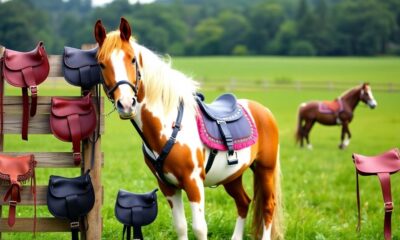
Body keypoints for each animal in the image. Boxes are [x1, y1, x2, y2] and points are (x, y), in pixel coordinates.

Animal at [93, 17, 282, 239]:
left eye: (132, 59)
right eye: (101, 63)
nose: (125, 104)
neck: (170, 126)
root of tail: (263, 110)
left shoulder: (194, 182)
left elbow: (199, 228)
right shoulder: (167, 186)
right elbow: (181, 226)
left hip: (265, 169)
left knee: (268, 206)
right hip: (232, 176)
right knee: (243, 202)